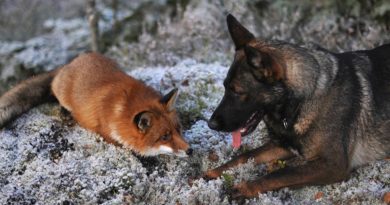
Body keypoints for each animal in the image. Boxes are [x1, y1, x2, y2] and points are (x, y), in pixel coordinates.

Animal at [0, 52, 190, 157]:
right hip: (62, 94)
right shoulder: (106, 133)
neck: (122, 109)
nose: (190, 151)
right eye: (164, 137)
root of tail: (69, 63)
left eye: (178, 129)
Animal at [206, 14, 388, 199]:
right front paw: (213, 172)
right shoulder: (283, 145)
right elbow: (244, 156)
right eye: (224, 87)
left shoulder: (333, 165)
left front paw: (243, 188)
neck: (302, 101)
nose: (210, 124)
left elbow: (280, 174)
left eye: (238, 92)